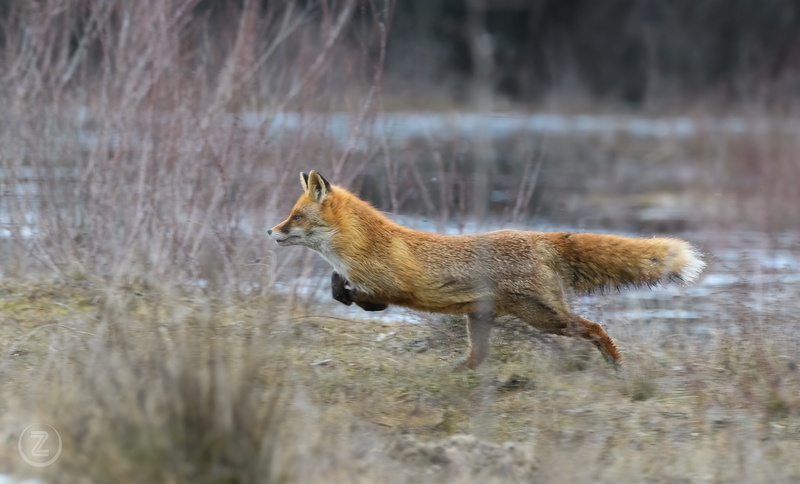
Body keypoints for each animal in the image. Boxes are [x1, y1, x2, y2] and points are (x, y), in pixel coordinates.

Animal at [268, 170, 706, 370]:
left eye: (295, 217)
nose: (270, 231)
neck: (363, 246)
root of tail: (539, 236)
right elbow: (339, 289)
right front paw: (340, 288)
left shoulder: (391, 289)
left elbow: (356, 297)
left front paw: (350, 296)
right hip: (480, 319)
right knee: (479, 357)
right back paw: (457, 372)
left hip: (544, 317)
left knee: (593, 328)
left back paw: (615, 362)